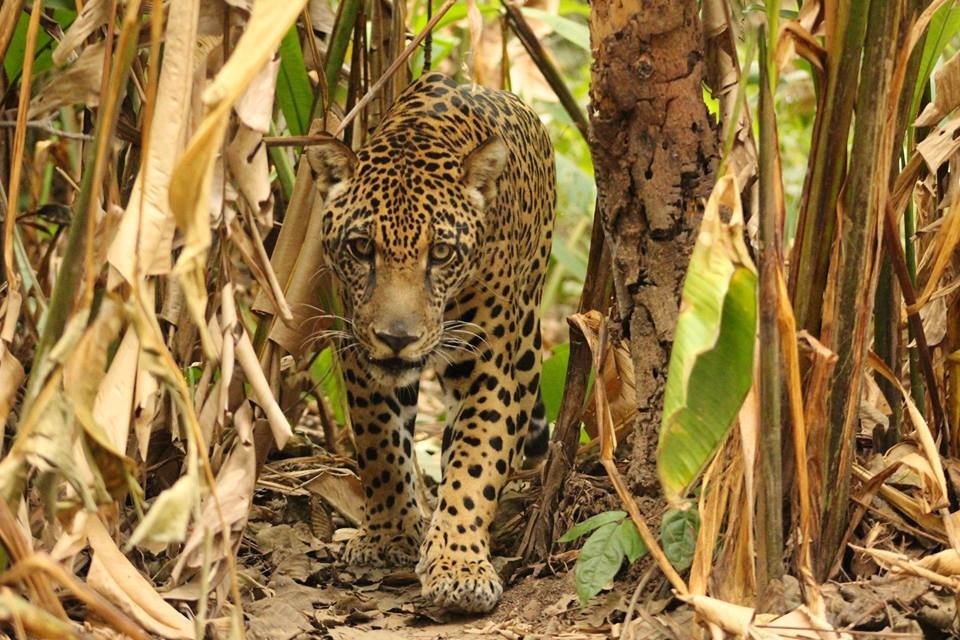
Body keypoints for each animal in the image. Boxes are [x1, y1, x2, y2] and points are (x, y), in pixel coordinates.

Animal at [307, 72, 555, 613]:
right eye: (362, 248)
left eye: (440, 253)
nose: (397, 339)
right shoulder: (360, 357)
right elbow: (379, 445)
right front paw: (387, 536)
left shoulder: (489, 367)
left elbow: (476, 459)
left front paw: (460, 566)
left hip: (528, 334)